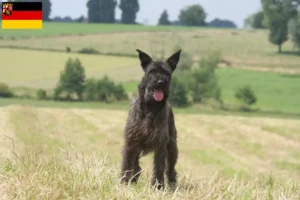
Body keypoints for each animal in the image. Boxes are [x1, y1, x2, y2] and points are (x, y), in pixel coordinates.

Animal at [120, 49, 182, 190]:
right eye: (152, 71)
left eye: (167, 73)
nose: (160, 82)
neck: (150, 107)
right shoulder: (130, 142)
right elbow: (126, 164)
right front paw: (123, 184)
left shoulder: (160, 145)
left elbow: (159, 168)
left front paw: (158, 187)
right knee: (136, 165)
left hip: (172, 147)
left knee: (171, 169)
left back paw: (172, 185)